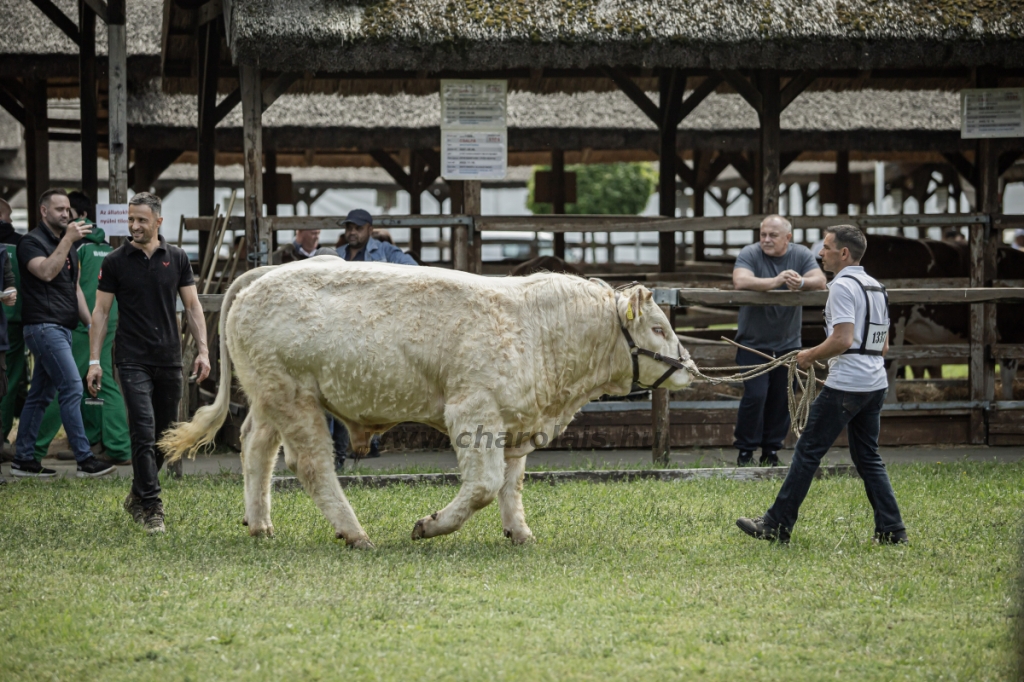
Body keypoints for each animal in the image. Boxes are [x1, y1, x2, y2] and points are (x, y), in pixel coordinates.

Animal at [159, 260, 692, 548]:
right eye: (659, 327)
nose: (690, 367)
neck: (538, 330)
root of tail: (263, 274)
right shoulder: (474, 414)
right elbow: (483, 486)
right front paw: (431, 525)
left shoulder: (516, 423)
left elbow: (511, 485)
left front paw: (519, 532)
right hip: (294, 398)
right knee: (309, 464)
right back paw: (355, 532)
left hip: (269, 396)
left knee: (256, 449)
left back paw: (260, 524)